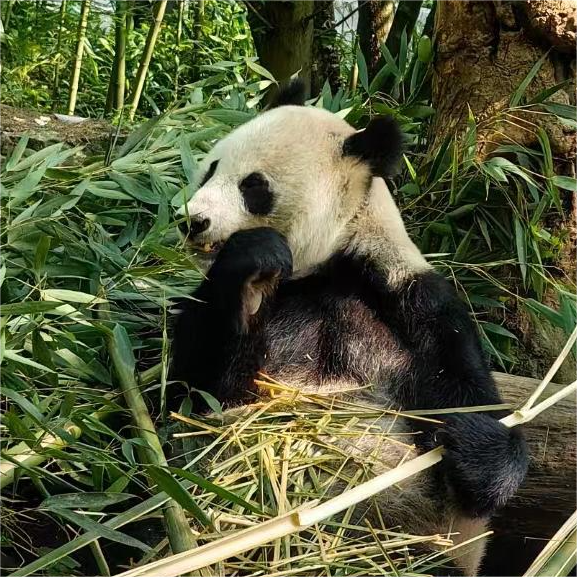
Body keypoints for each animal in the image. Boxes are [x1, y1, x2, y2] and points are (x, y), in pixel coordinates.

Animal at [170, 81, 528, 576]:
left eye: (253, 186)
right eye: (209, 169)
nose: (193, 220)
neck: (328, 262)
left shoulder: (411, 301)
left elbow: (470, 409)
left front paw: (475, 444)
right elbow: (195, 395)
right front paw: (254, 269)